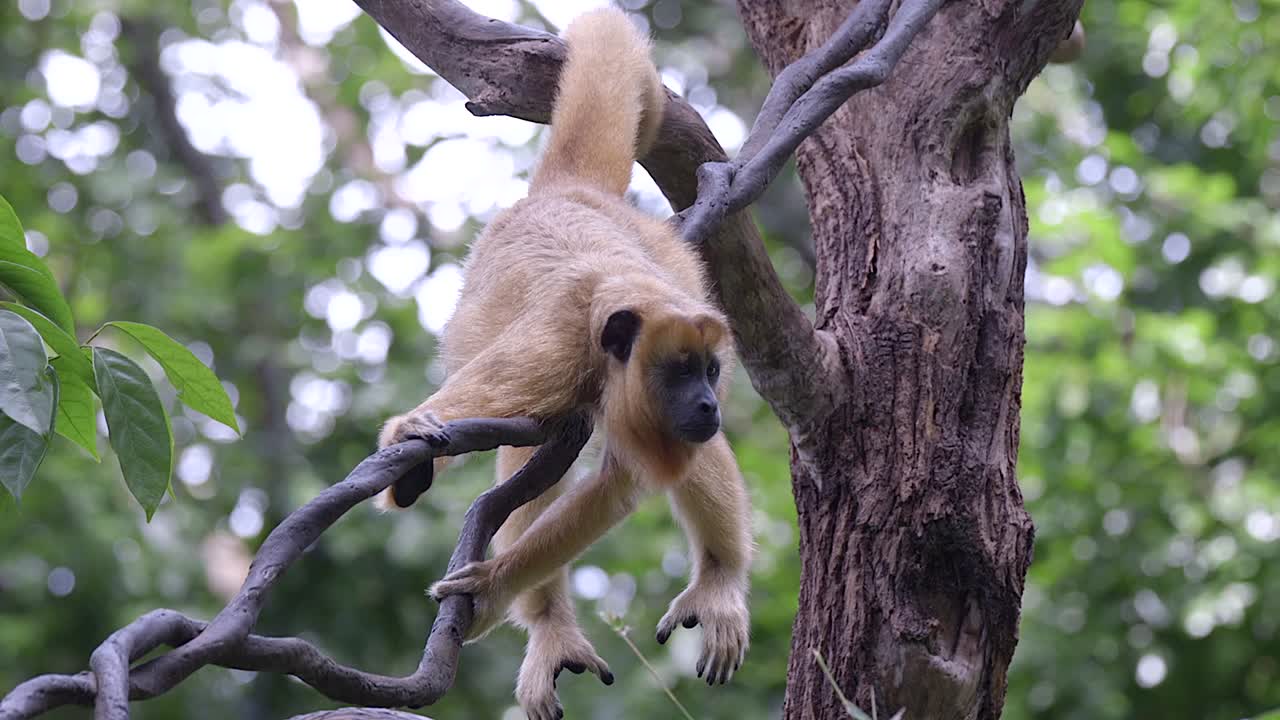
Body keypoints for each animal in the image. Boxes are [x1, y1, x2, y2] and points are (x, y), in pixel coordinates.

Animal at [375, 7, 752, 719]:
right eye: (677, 370)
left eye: (709, 371)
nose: (708, 402)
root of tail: (571, 190)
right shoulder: (551, 349)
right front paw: (409, 441)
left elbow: (621, 484)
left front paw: (490, 586)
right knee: (526, 454)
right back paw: (549, 622)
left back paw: (718, 583)